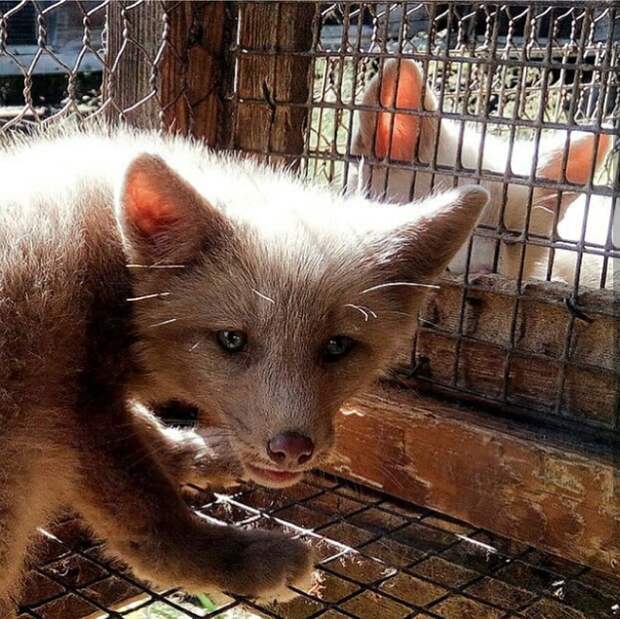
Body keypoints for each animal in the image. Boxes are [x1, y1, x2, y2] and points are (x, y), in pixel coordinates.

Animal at [0, 126, 490, 616]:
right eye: (232, 340)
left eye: (337, 346)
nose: (292, 450)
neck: (110, 271)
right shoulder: (78, 410)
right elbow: (153, 513)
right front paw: (233, 560)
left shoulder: (89, 406)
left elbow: (149, 436)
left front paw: (195, 451)